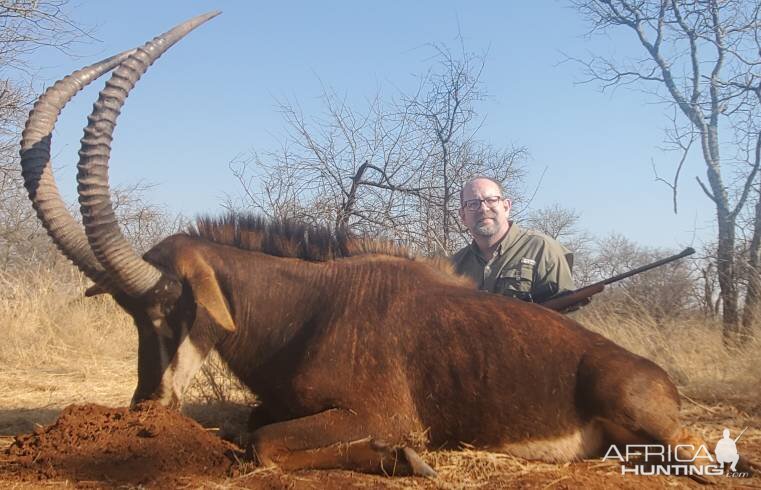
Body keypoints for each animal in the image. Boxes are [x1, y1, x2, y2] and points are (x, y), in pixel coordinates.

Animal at [20, 11, 720, 478]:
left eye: (173, 305)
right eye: (131, 314)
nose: (147, 409)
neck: (302, 312)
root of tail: (657, 375)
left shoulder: (378, 413)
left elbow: (264, 445)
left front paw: (406, 458)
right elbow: (253, 428)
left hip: (652, 426)